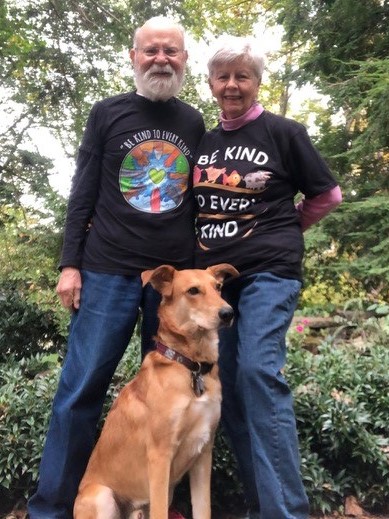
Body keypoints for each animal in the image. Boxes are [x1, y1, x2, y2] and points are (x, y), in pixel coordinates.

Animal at [72, 266, 236, 516]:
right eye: (193, 290)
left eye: (217, 287)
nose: (228, 313)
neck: (191, 366)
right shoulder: (160, 455)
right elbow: (161, 512)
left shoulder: (203, 452)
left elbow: (203, 510)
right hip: (102, 496)